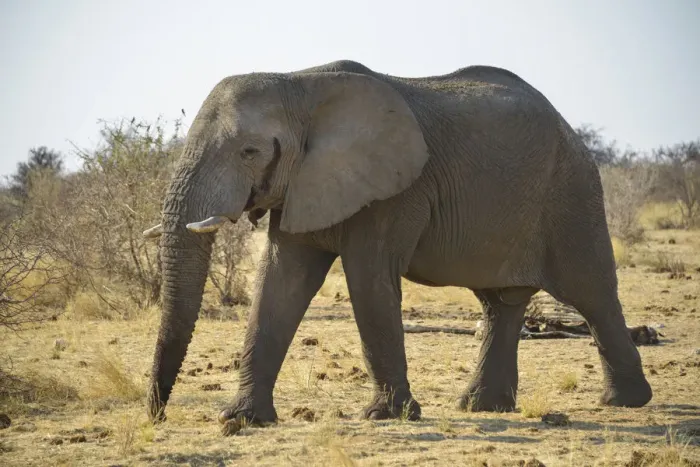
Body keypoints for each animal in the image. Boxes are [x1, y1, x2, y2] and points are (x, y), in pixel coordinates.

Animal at [142, 59, 652, 428]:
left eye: (249, 151)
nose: (158, 416)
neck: (301, 84)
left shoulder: (395, 191)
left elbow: (368, 279)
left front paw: (386, 417)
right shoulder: (304, 184)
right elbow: (279, 283)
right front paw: (242, 420)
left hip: (572, 191)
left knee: (591, 292)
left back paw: (626, 402)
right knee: (501, 301)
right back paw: (481, 407)